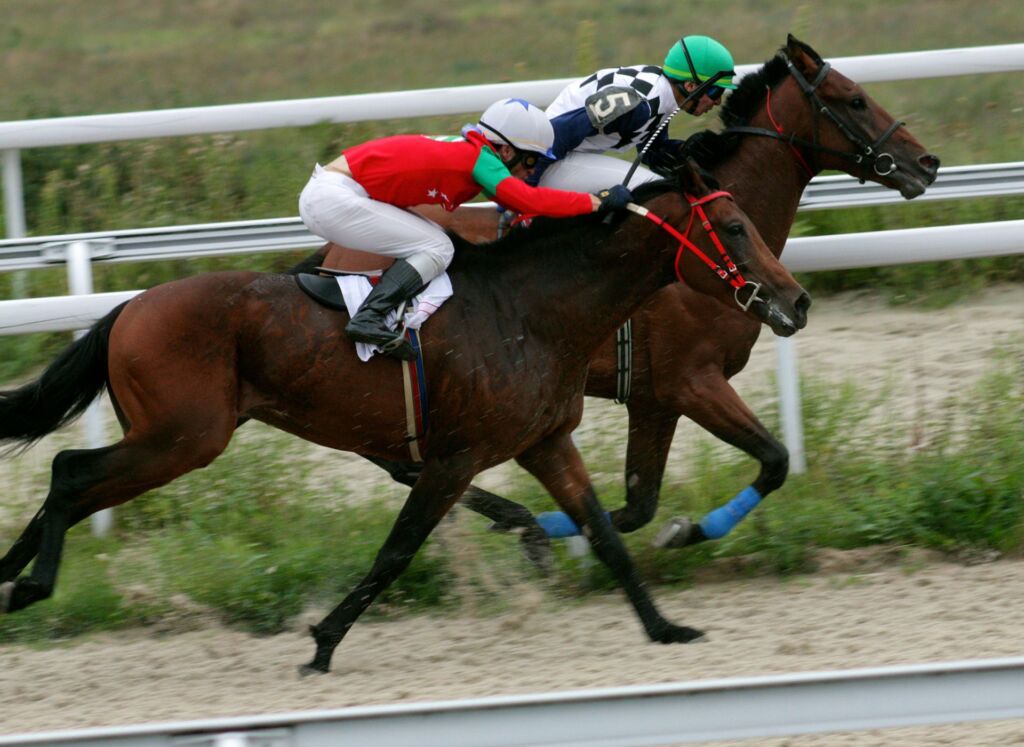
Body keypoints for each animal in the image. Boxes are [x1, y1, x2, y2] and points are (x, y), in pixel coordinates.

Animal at [0, 164, 806, 676]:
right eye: (734, 225)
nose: (794, 301)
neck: (532, 310)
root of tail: (128, 309)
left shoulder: (545, 440)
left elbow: (608, 535)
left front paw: (666, 626)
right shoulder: (457, 456)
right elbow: (397, 551)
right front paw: (324, 642)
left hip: (171, 437)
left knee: (70, 482)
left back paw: (9, 580)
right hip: (182, 438)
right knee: (69, 473)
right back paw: (29, 586)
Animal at [309, 34, 937, 557]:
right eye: (854, 99)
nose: (927, 163)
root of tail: (329, 254)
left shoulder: (654, 398)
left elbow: (640, 505)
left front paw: (638, 532)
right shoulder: (692, 380)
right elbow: (774, 460)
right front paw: (577, 533)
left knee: (397, 460)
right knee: (399, 460)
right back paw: (508, 519)